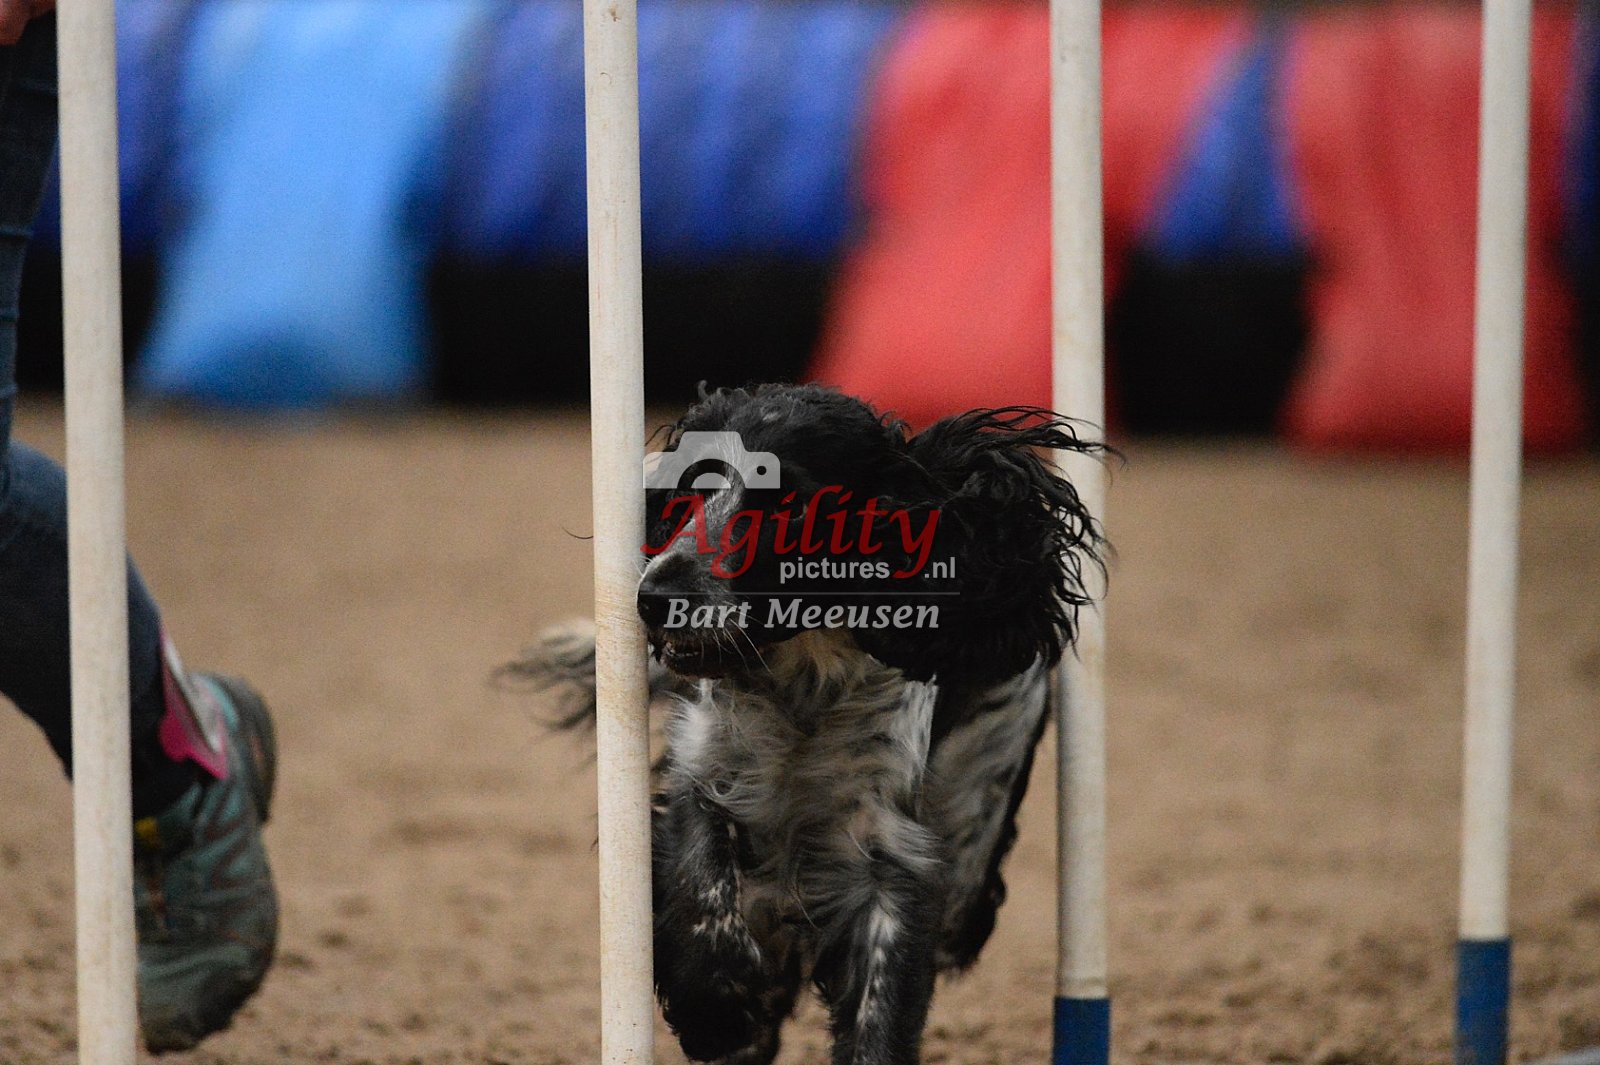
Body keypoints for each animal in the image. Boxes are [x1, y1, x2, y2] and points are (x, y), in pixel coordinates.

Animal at [517, 383, 1106, 1065]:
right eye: (687, 492)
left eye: (793, 508)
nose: (655, 597)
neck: (806, 690)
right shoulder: (707, 773)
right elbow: (702, 880)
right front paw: (717, 1007)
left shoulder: (892, 855)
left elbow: (880, 1015)